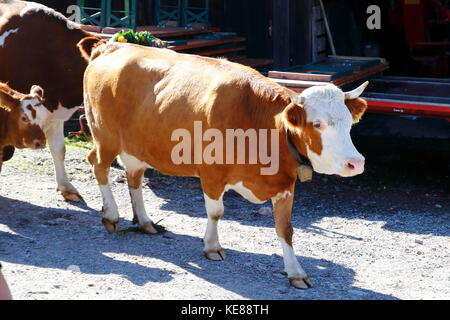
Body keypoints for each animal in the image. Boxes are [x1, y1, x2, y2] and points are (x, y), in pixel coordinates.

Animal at [80, 41, 370, 288]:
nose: (355, 163)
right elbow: (216, 212)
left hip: (137, 145)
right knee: (98, 166)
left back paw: (144, 221)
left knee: (134, 175)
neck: (259, 125)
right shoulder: (211, 174)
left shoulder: (285, 185)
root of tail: (112, 46)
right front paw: (211, 247)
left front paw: (296, 272)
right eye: (317, 124)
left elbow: (285, 229)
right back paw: (111, 215)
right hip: (105, 136)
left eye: (348, 122)